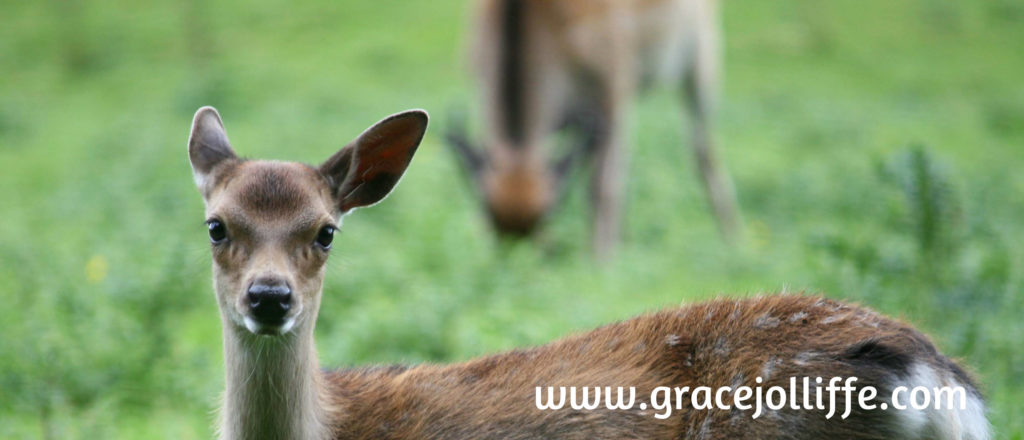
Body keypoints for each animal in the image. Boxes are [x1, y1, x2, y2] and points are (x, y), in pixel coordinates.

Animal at [448, 0, 745, 257]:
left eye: (547, 213)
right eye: (488, 213)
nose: (515, 259)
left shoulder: (613, 91)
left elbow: (602, 188)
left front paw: (601, 260)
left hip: (701, 61)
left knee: (702, 150)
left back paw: (732, 239)